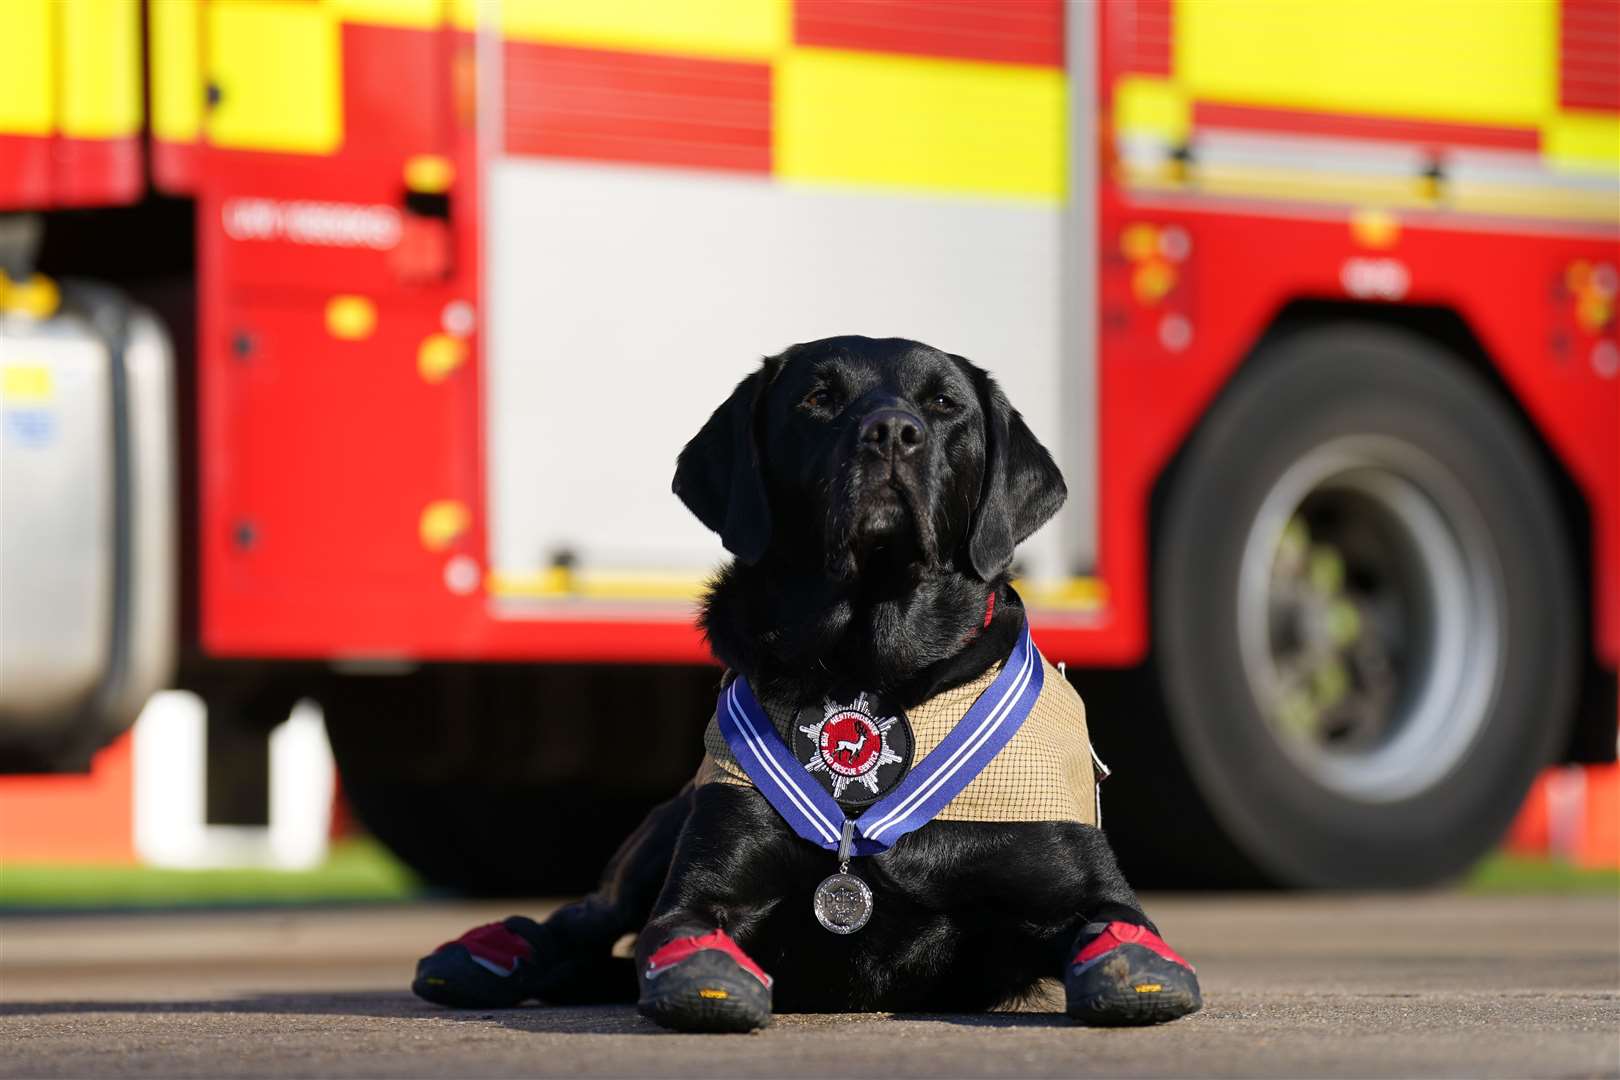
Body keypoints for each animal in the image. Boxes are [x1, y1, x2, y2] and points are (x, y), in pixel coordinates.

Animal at [414, 335, 1205, 1029]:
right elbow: (683, 939)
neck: (870, 669)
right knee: (585, 918)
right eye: (819, 399)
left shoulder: (1080, 882)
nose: (892, 433)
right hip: (660, 831)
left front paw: (1134, 975)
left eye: (944, 404)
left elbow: (1121, 933)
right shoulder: (704, 885)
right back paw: (485, 956)